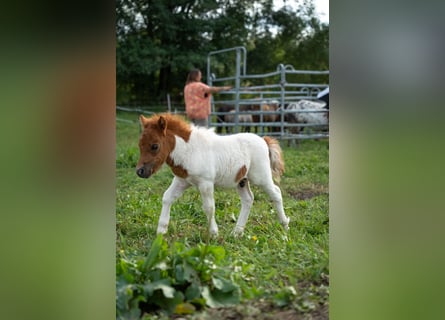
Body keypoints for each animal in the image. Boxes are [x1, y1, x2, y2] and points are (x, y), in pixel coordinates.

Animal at [135, 114, 288, 236]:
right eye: (139, 145)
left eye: (155, 146)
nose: (140, 172)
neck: (189, 150)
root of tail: (264, 140)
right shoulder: (182, 180)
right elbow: (167, 197)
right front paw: (161, 230)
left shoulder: (205, 183)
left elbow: (209, 207)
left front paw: (213, 233)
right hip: (241, 180)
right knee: (248, 199)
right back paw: (237, 232)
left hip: (260, 178)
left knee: (276, 193)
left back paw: (285, 225)